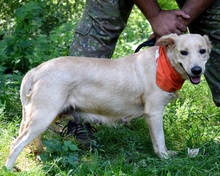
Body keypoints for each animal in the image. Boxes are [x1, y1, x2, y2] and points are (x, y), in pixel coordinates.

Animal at [5, 33, 211, 169]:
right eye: (183, 52)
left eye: (202, 51)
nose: (197, 70)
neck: (163, 64)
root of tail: (37, 70)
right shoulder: (154, 113)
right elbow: (160, 141)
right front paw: (165, 157)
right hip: (44, 115)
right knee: (16, 144)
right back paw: (9, 169)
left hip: (42, 117)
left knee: (32, 139)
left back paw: (42, 155)